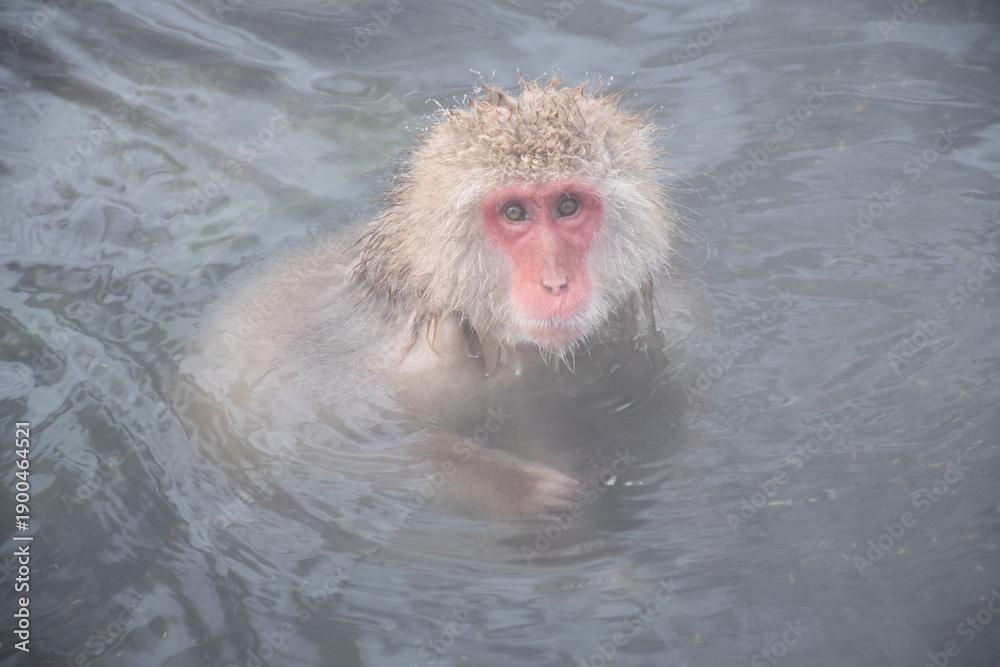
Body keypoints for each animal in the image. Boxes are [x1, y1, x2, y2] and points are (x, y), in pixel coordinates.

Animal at [184, 79, 676, 522]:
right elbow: (323, 440)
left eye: (568, 206)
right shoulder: (416, 367)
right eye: (515, 212)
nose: (556, 283)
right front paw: (520, 489)